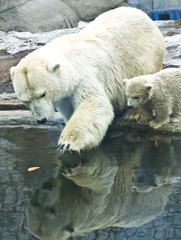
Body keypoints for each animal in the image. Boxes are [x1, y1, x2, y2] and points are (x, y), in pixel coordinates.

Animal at [10, 7, 165, 151]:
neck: (67, 60)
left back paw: (133, 113)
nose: (41, 120)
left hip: (145, 56)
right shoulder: (65, 96)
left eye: (42, 94)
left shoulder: (82, 76)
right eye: (25, 100)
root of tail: (143, 15)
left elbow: (93, 102)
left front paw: (67, 143)